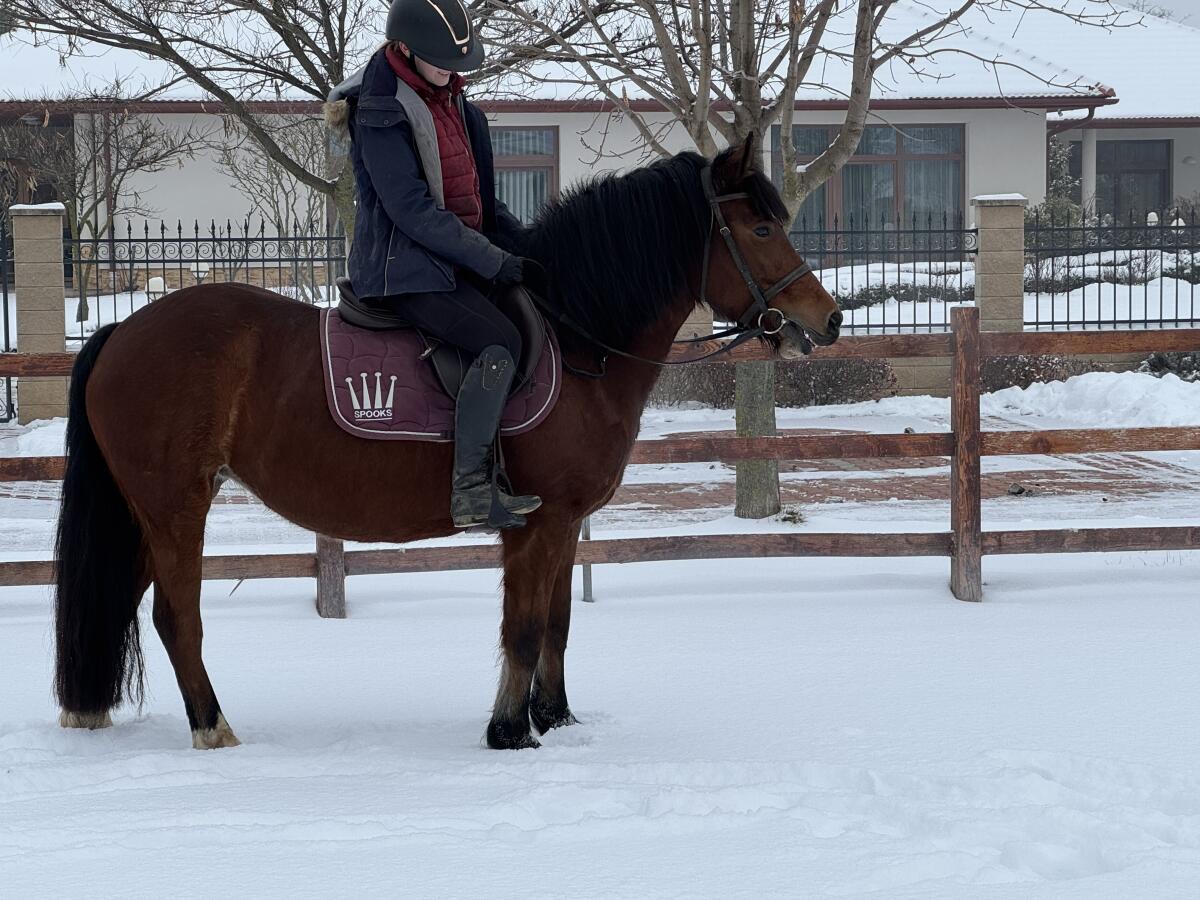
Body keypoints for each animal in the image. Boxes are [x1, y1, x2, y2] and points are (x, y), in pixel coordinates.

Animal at [52, 134, 841, 751]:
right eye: (761, 230)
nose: (828, 319)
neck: (577, 335)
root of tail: (124, 330)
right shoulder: (537, 523)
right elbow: (524, 627)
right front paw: (510, 731)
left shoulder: (565, 524)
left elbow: (557, 625)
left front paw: (556, 719)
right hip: (175, 508)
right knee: (176, 616)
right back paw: (212, 726)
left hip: (150, 511)